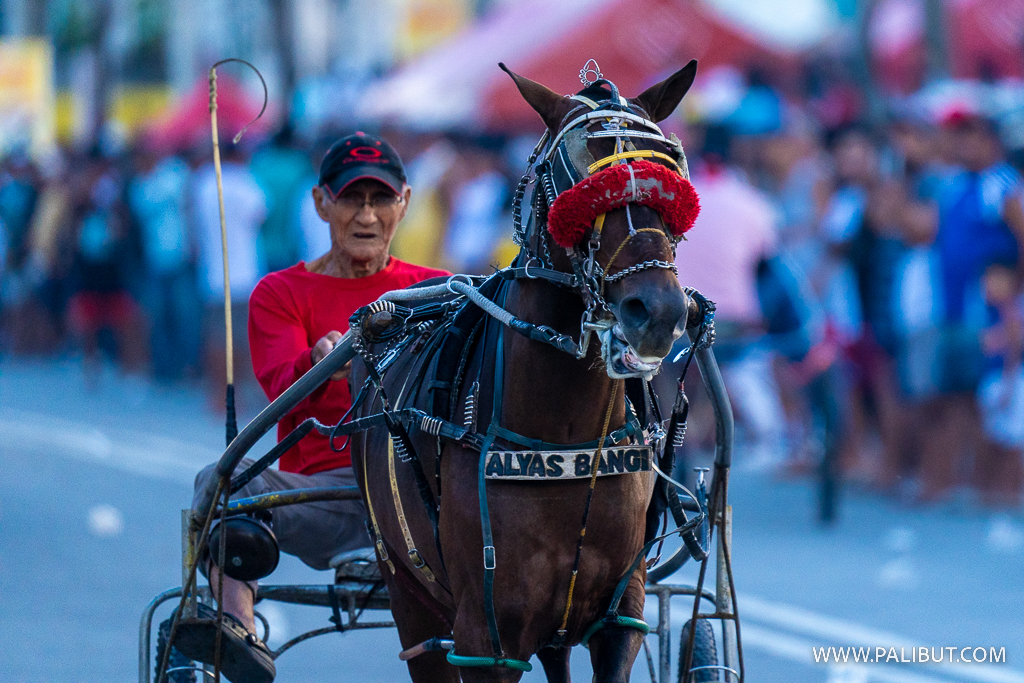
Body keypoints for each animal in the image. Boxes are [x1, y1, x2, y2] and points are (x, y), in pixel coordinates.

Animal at [350, 60, 700, 682]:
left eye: (668, 172)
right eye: (578, 181)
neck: (564, 436)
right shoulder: (485, 637)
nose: (658, 311)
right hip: (408, 591)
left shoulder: (620, 613)